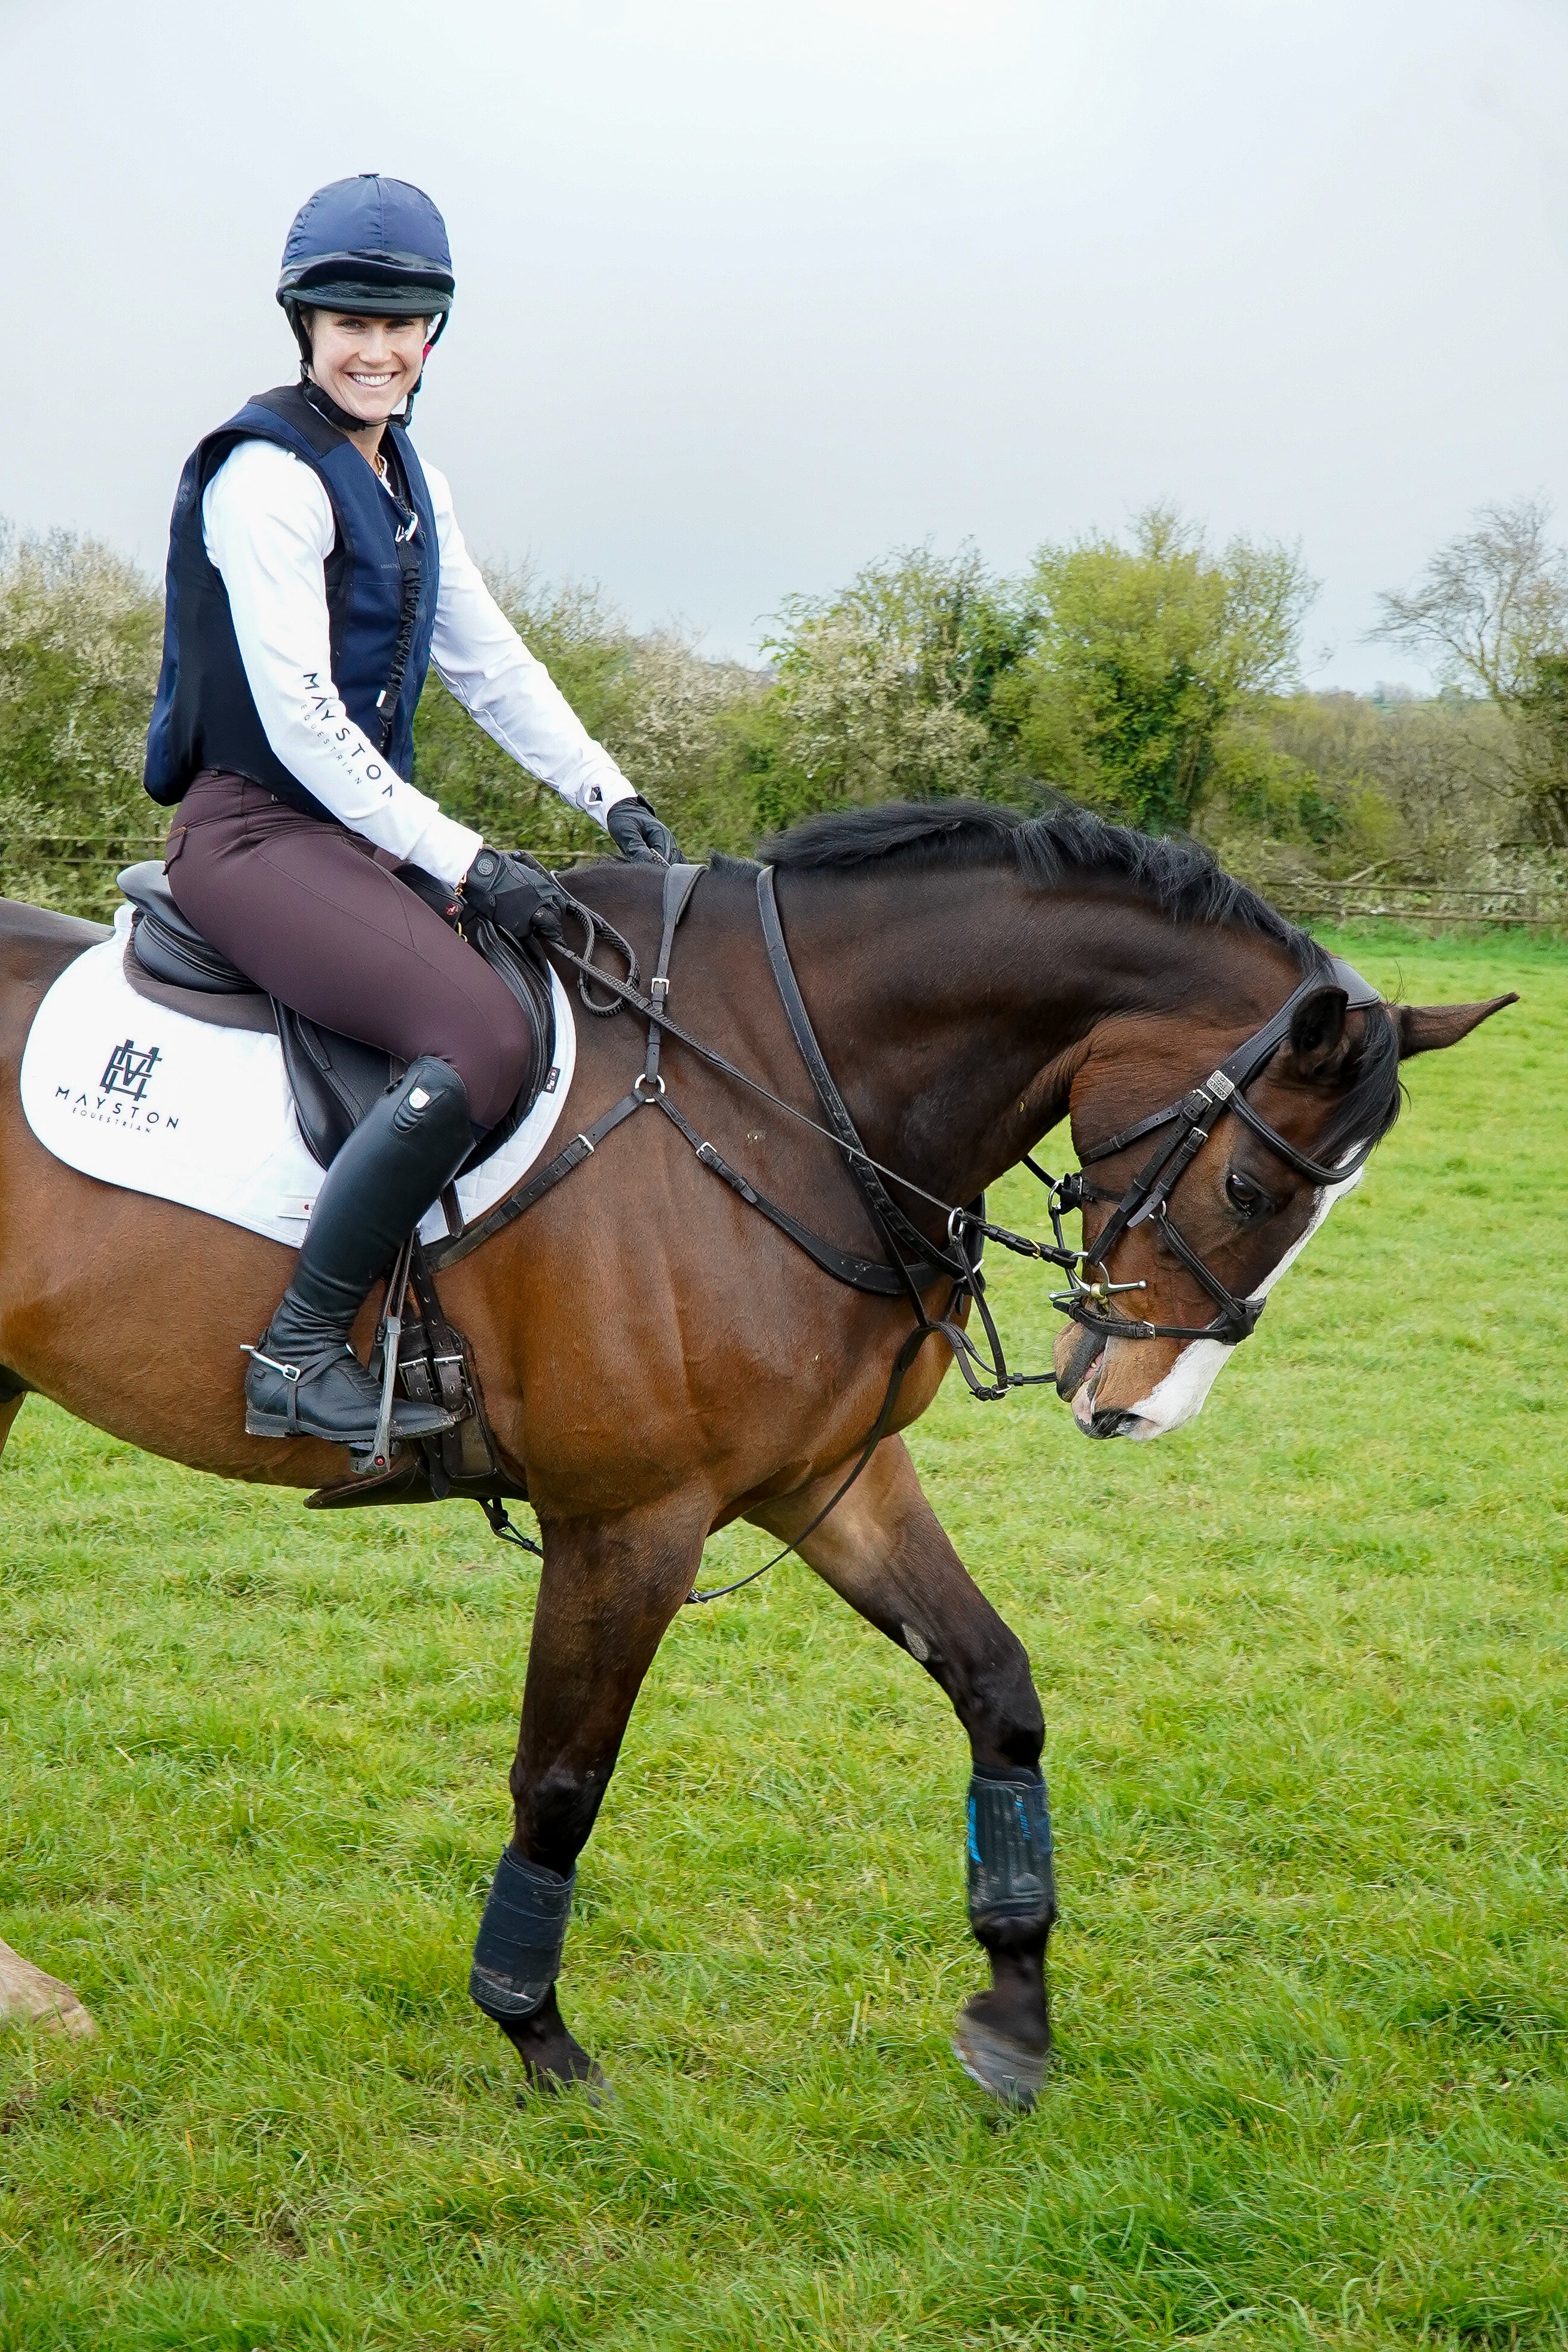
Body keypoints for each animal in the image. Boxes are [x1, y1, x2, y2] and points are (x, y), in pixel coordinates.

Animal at [0, 800, 1513, 2107]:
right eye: (1250, 1188)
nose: (1137, 1408)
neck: (786, 1095)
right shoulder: (628, 1520)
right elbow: (561, 1783)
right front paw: (537, 2038)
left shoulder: (826, 1483)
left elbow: (998, 1691)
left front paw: (1014, 2008)